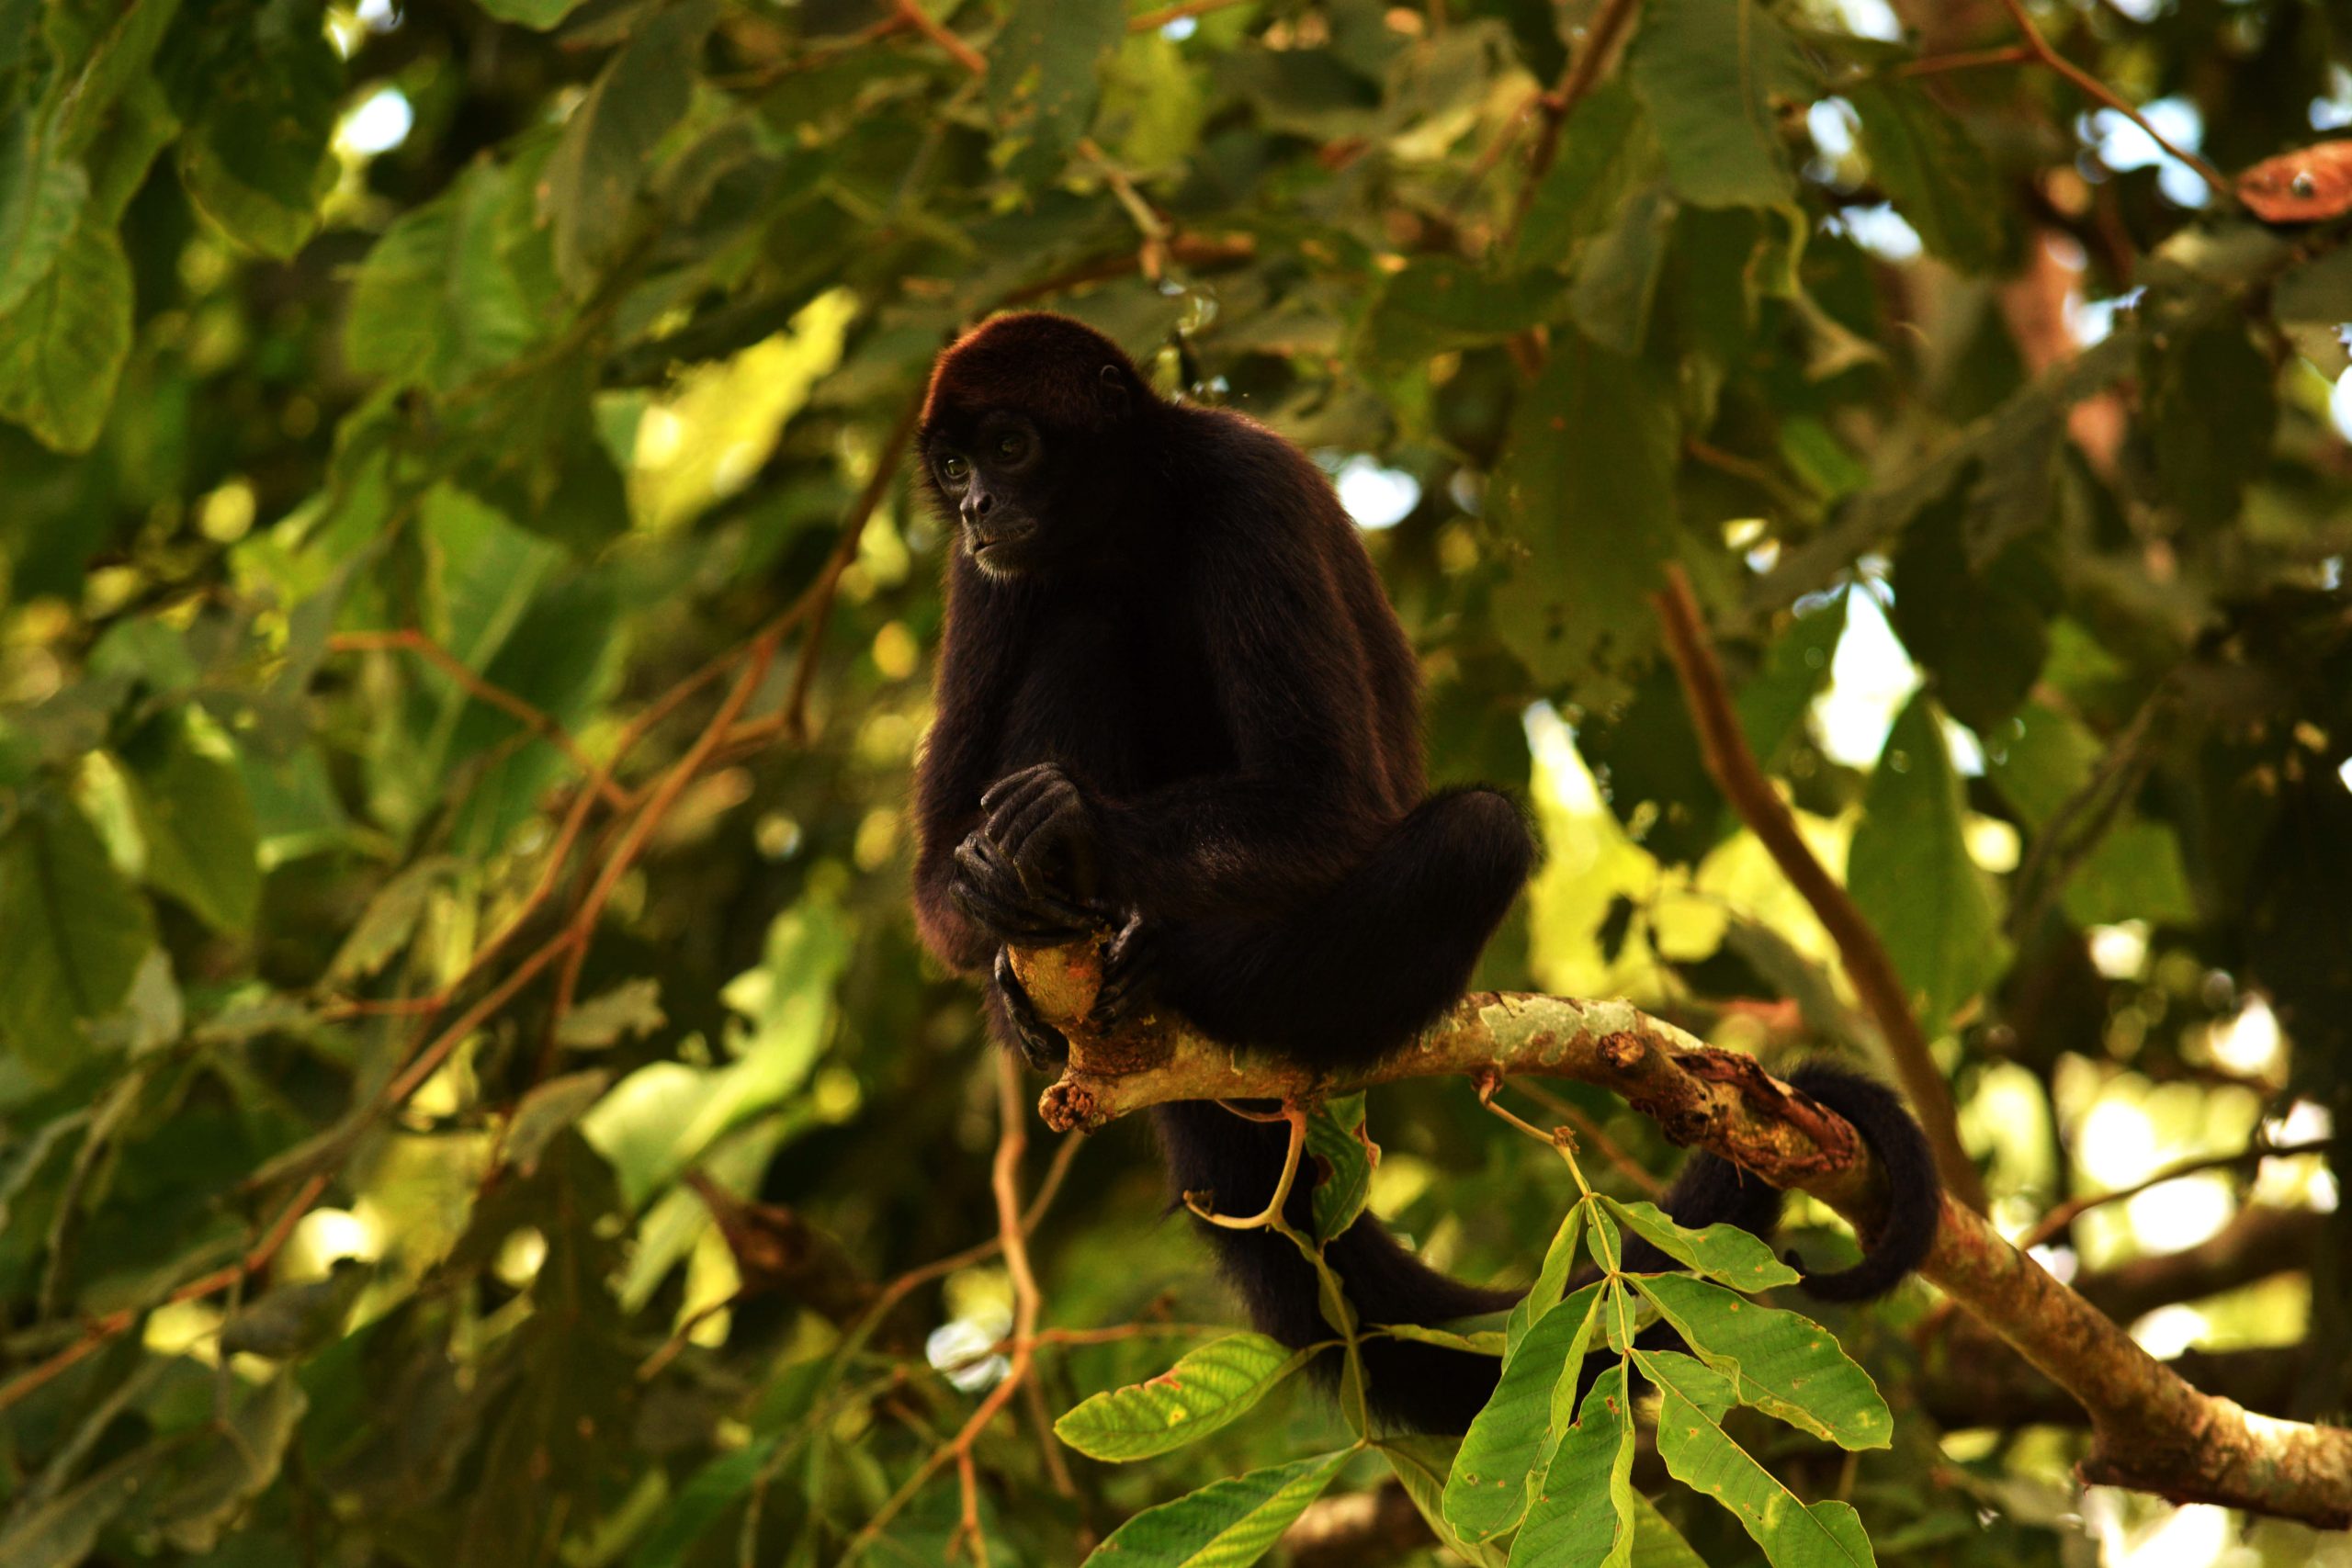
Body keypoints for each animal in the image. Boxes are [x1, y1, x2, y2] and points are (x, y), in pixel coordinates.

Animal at [908, 310, 1940, 1433]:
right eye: (955, 466)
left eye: (1009, 448)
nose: (975, 504)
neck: (1127, 523)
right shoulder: (979, 576)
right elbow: (936, 877)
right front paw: (991, 890)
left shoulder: (1249, 487)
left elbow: (1331, 801)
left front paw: (1075, 826)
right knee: (1079, 623)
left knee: (1476, 832)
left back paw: (1167, 962)